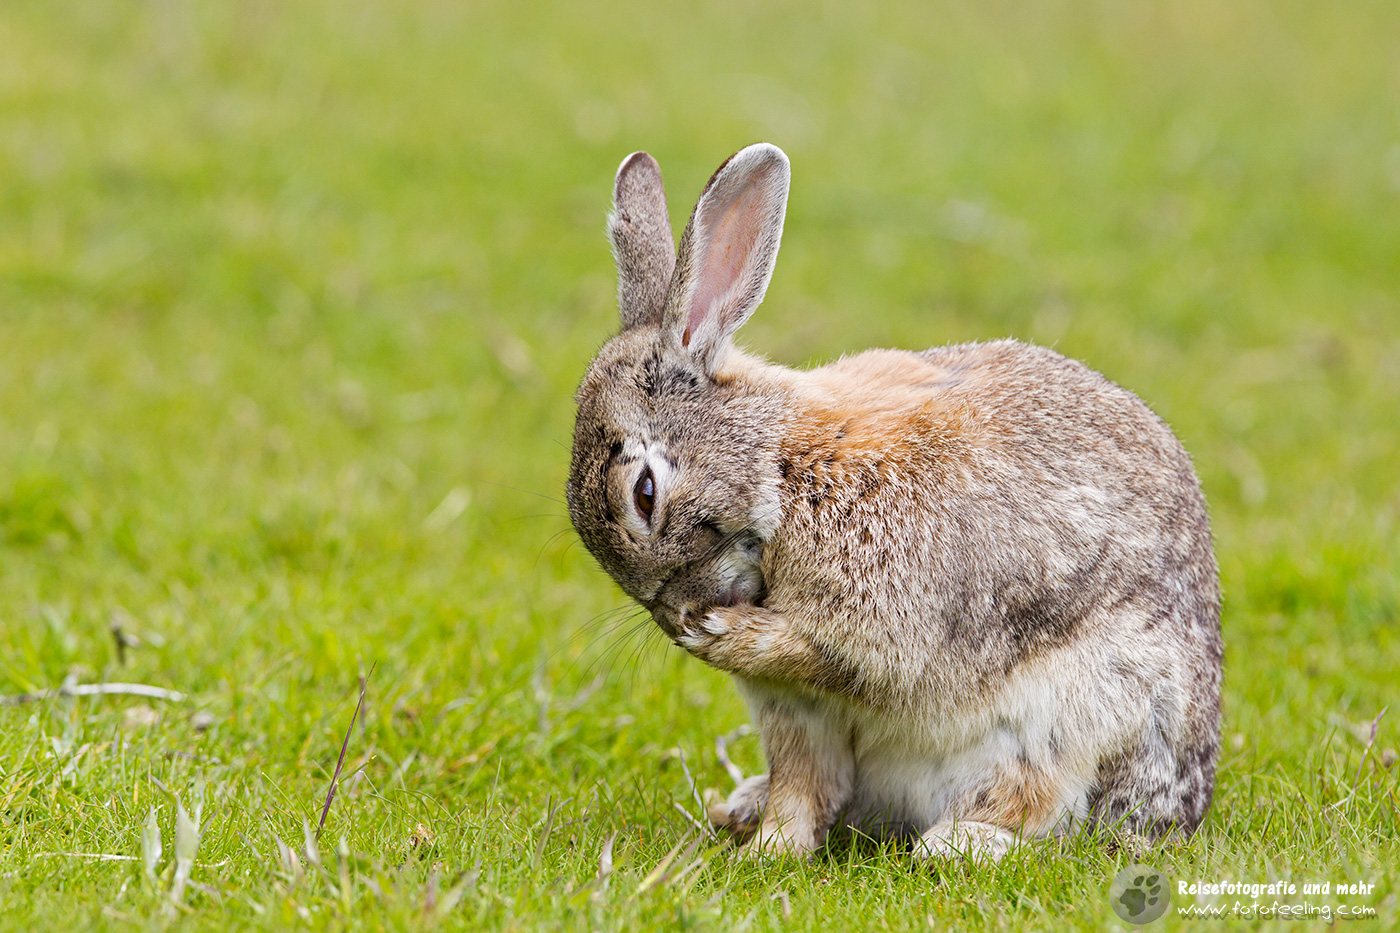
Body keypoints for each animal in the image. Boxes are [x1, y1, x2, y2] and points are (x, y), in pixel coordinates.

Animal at [566, 143, 1222, 861]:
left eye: (644, 493)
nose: (676, 614)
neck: (783, 465)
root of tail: (1184, 805)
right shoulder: (793, 712)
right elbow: (802, 786)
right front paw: (768, 849)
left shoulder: (883, 624)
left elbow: (836, 656)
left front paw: (723, 636)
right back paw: (741, 807)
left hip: (1078, 719)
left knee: (1039, 810)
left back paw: (958, 843)